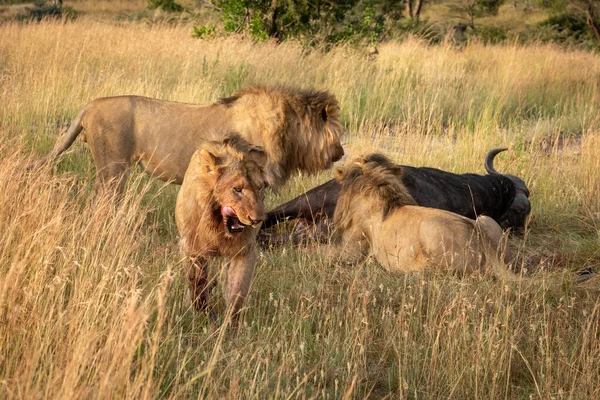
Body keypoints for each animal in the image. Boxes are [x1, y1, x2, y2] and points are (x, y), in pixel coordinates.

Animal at [173, 134, 268, 322]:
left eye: (260, 187)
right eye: (237, 189)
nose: (257, 219)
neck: (218, 227)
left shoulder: (244, 250)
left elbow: (237, 292)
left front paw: (230, 323)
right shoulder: (193, 249)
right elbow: (197, 286)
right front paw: (206, 316)